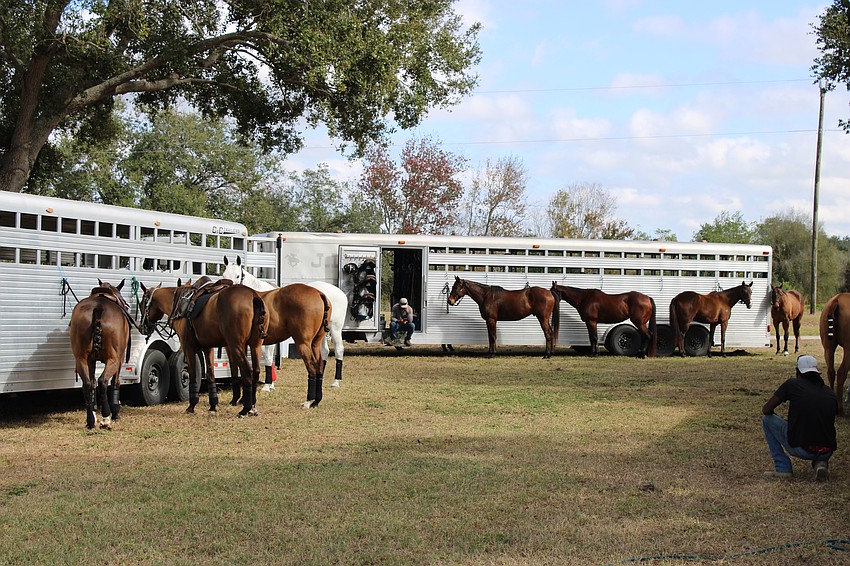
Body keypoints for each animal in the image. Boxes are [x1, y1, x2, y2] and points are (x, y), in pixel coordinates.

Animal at [69, 279, 132, 429]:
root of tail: (98, 308)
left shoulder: (90, 360)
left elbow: (92, 383)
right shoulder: (120, 359)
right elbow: (115, 382)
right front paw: (115, 412)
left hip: (81, 359)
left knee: (87, 384)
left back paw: (90, 421)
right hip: (113, 359)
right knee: (103, 381)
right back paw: (106, 417)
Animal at [222, 255, 348, 388]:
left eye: (237, 276)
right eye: (224, 274)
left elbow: (268, 357)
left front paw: (268, 385)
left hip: (335, 329)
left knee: (339, 349)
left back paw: (336, 381)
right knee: (324, 351)